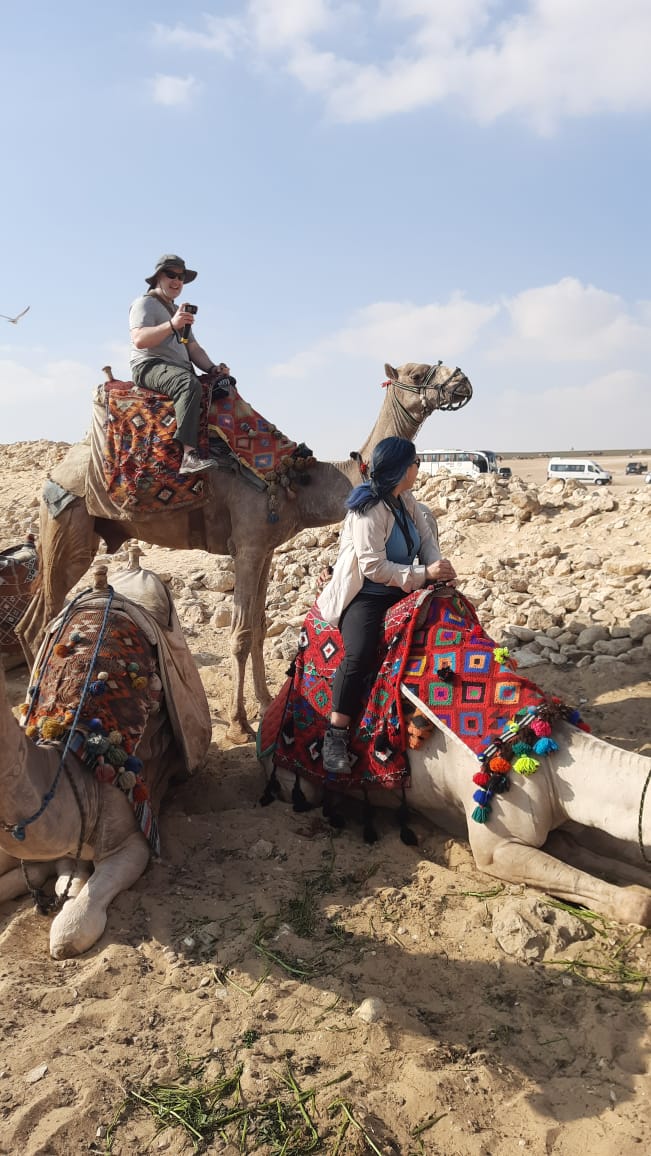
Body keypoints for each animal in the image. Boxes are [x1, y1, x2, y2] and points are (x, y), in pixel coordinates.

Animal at [17, 361, 472, 742]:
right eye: (418, 372)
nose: (462, 380)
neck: (299, 485)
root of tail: (56, 470)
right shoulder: (248, 546)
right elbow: (239, 634)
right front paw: (238, 724)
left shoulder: (267, 547)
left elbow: (259, 623)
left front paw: (266, 700)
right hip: (70, 524)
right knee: (45, 617)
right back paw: (34, 706)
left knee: (30, 618)